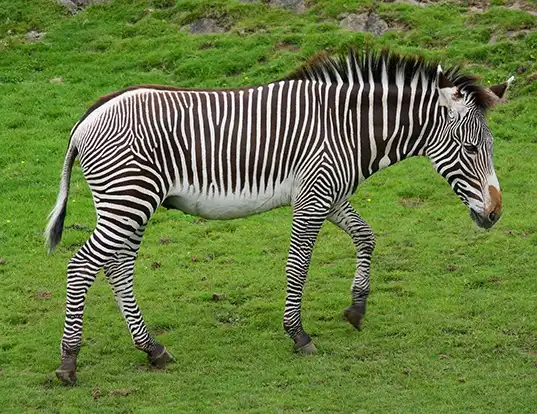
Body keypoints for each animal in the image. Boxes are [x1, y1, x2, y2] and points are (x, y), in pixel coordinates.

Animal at [46, 49, 510, 384]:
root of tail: (88, 116)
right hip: (129, 198)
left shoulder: (331, 195)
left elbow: (366, 236)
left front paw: (356, 308)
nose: (495, 213)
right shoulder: (313, 198)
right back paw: (69, 363)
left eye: (489, 147)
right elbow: (298, 267)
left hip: (131, 202)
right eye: (471, 149)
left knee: (117, 267)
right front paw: (298, 334)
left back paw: (153, 349)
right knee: (83, 265)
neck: (348, 129)